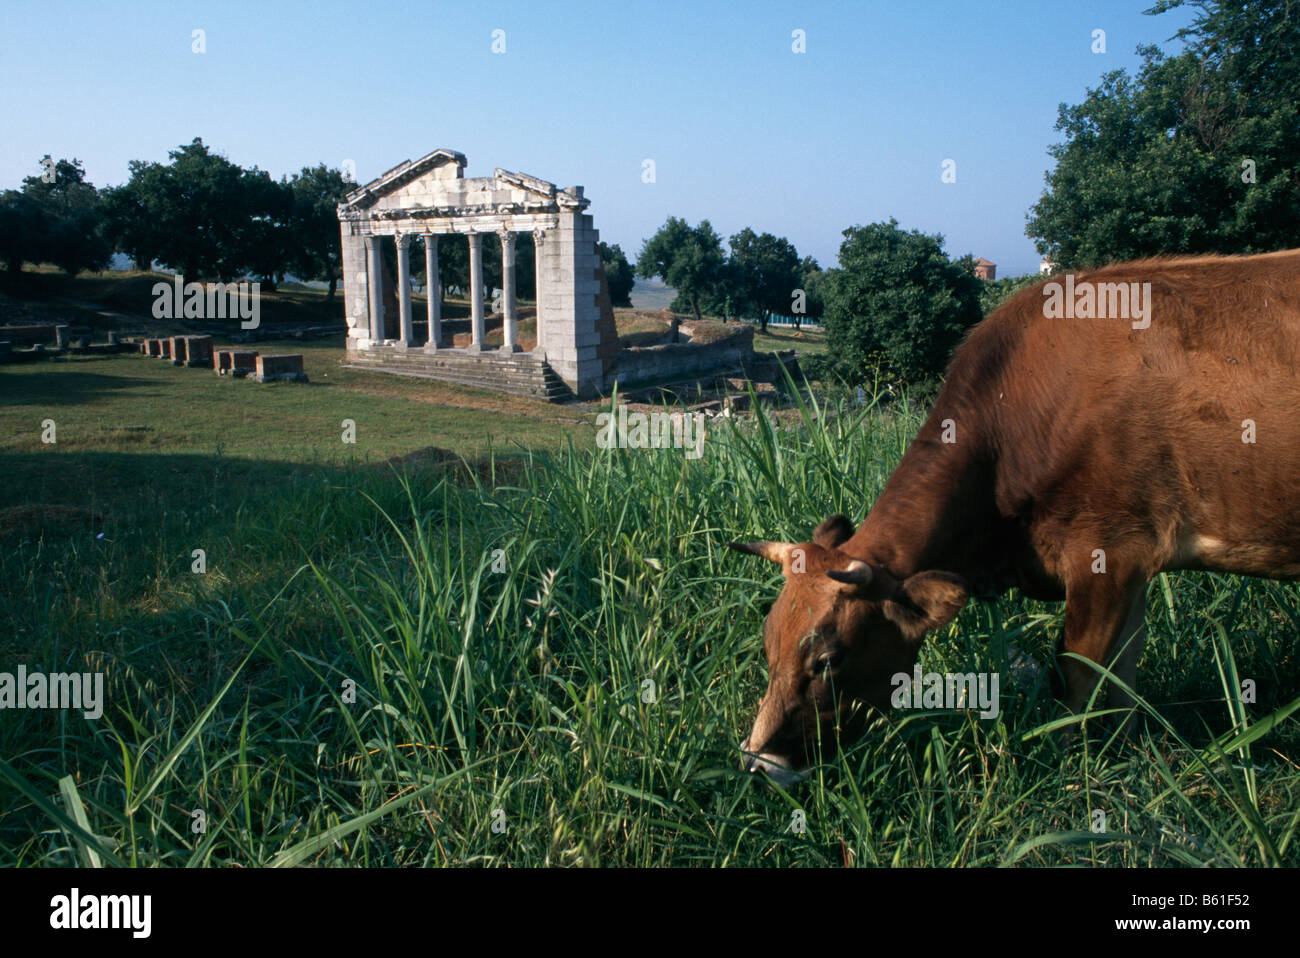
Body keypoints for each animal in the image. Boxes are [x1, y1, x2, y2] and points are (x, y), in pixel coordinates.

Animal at [733, 248, 1300, 785]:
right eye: (767, 644)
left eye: (829, 660)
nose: (760, 764)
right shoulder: (1138, 557)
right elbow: (1125, 668)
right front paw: (1129, 751)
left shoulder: (1107, 551)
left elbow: (1077, 670)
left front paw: (1068, 767)